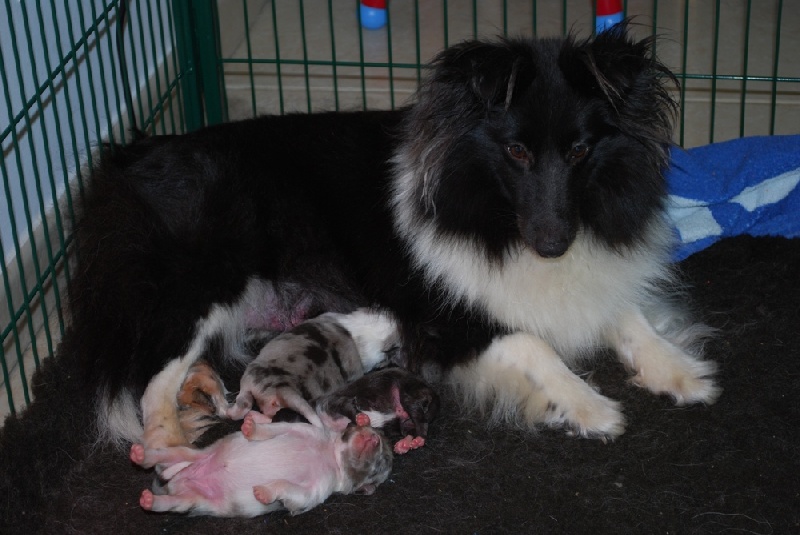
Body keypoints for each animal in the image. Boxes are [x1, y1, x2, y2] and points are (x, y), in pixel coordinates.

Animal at [131, 412, 394, 516]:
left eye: (381, 465)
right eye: (377, 432)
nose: (373, 438)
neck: (331, 454)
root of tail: (178, 483)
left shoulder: (314, 492)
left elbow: (290, 489)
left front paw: (264, 492)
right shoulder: (299, 429)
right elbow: (274, 428)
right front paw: (251, 427)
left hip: (191, 502)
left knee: (170, 503)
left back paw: (150, 499)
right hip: (195, 453)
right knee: (173, 454)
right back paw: (141, 455)